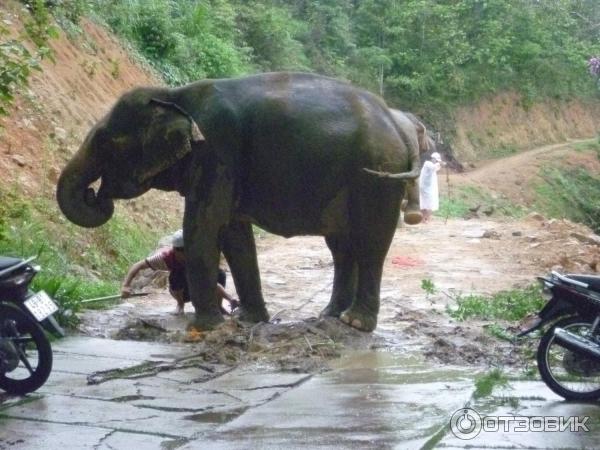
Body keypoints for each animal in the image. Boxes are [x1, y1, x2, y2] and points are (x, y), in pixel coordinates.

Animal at [57, 72, 422, 332]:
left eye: (106, 143)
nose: (94, 194)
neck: (174, 95)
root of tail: (399, 125)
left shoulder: (217, 152)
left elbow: (203, 226)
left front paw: (205, 327)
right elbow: (234, 235)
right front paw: (247, 320)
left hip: (377, 175)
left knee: (370, 242)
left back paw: (355, 323)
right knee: (341, 246)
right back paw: (329, 316)